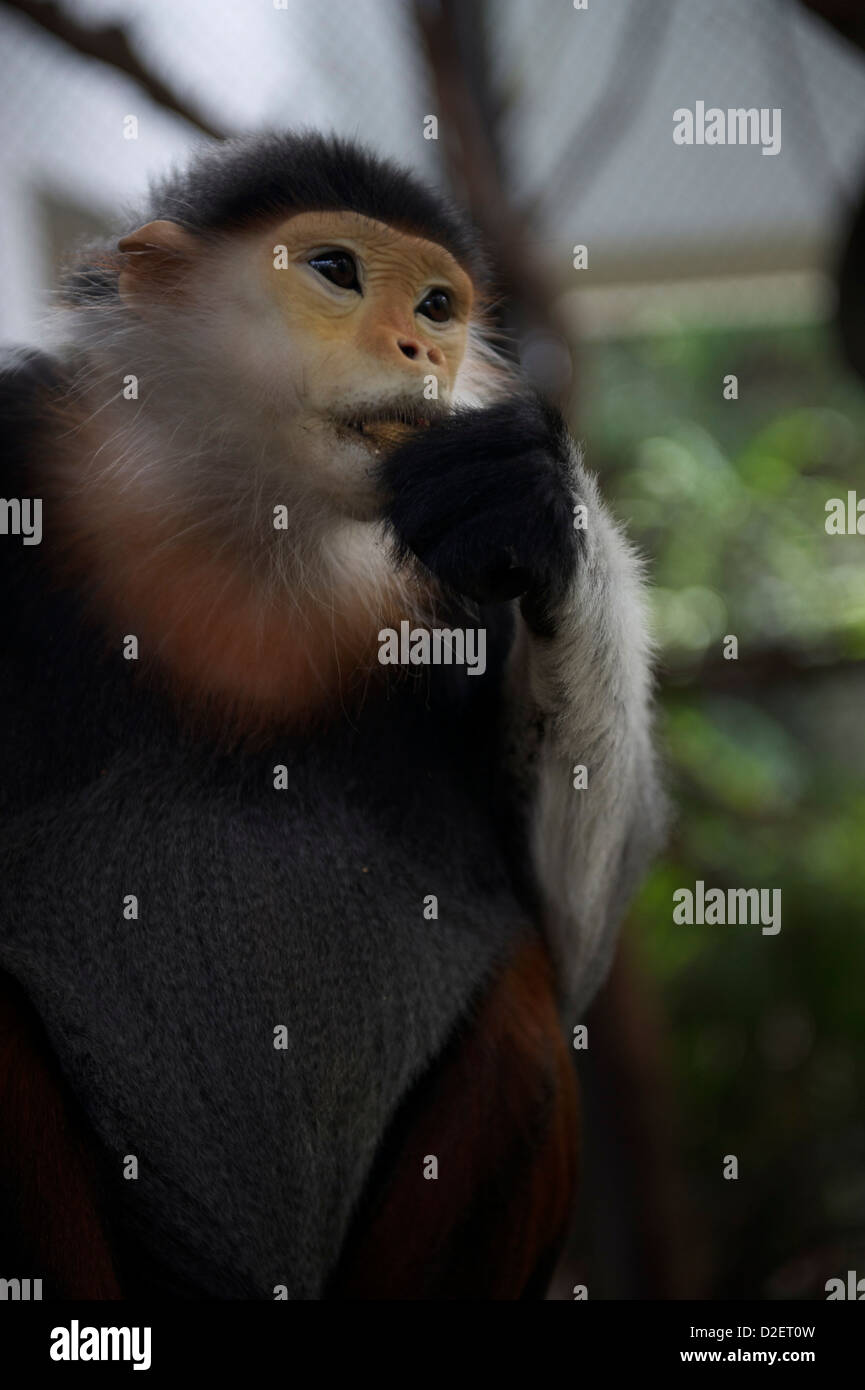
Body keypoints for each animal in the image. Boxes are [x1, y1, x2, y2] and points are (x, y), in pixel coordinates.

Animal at [0, 132, 664, 1301]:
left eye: (439, 302)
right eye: (336, 272)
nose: (421, 346)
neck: (259, 518)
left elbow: (575, 944)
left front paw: (538, 498)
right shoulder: (20, 445)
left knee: (530, 998)